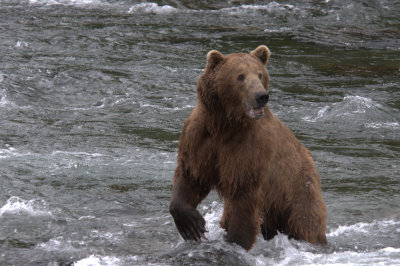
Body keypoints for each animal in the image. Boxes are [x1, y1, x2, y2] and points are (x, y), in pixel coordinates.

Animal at [169, 44, 328, 250]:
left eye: (260, 74)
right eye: (240, 76)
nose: (261, 96)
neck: (225, 123)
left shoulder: (250, 150)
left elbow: (243, 199)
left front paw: (235, 242)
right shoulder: (200, 137)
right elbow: (191, 175)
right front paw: (192, 226)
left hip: (298, 193)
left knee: (306, 225)